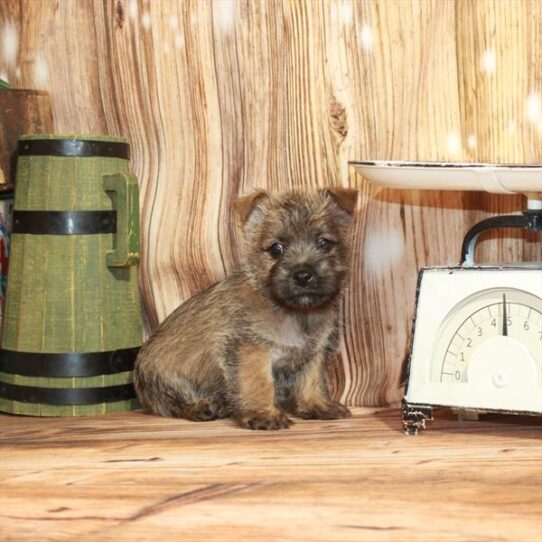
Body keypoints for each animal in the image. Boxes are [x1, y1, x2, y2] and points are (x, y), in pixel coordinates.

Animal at [134, 189, 360, 432]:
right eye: (276, 249)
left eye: (324, 243)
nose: (302, 275)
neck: (294, 313)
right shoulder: (251, 348)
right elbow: (258, 382)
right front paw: (263, 414)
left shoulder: (313, 353)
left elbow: (312, 381)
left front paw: (318, 405)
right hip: (165, 380)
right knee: (174, 404)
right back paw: (203, 407)